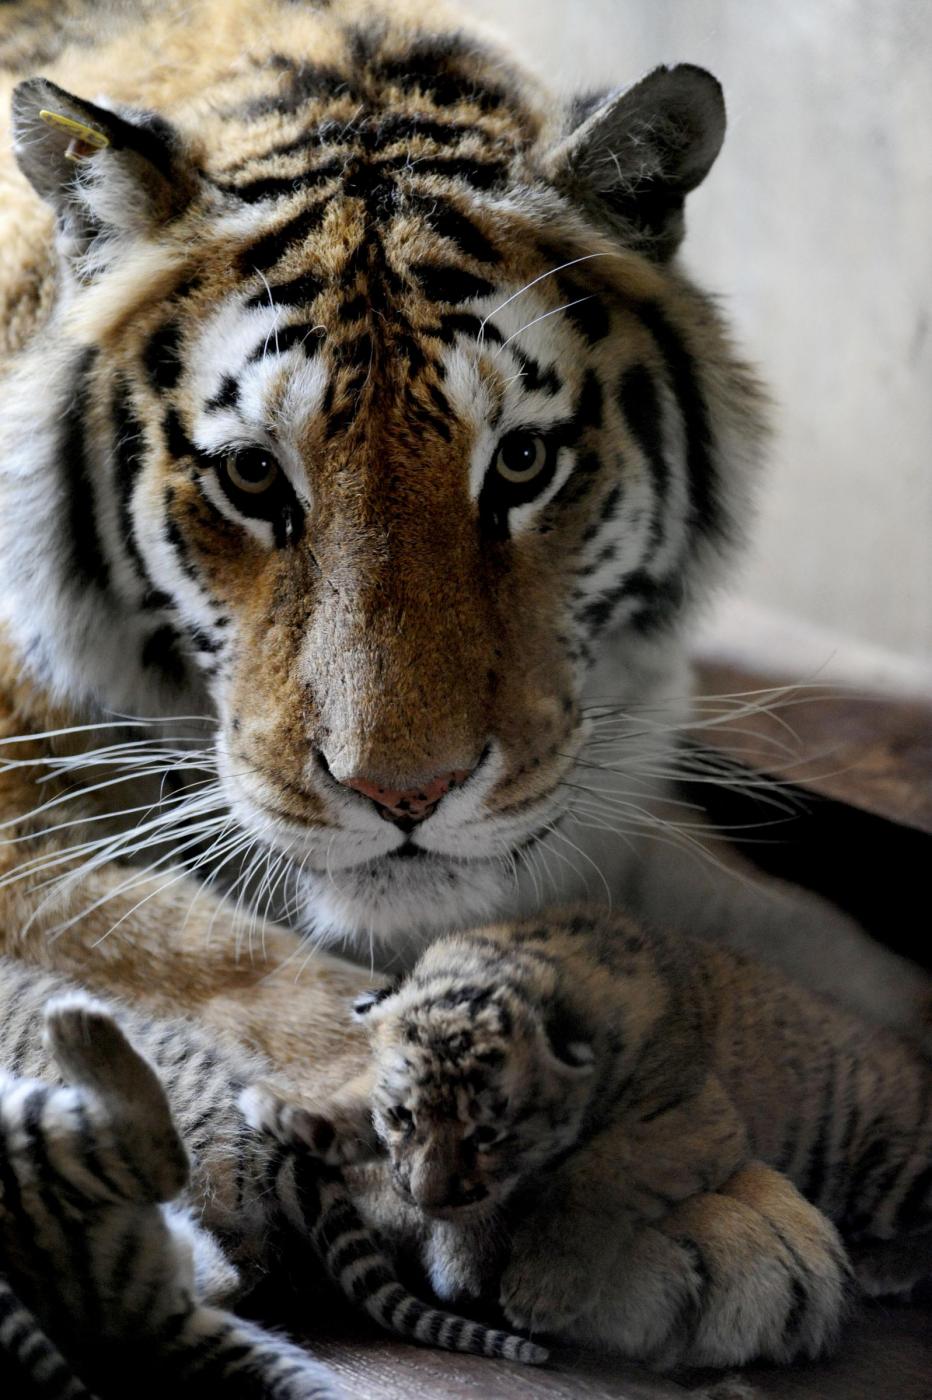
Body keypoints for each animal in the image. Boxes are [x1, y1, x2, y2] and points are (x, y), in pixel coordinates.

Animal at [278, 909, 932, 1370]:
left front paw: (540, 1291)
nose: (424, 1199)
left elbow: (592, 1176)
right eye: (403, 1116)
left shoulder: (689, 1119)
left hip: (898, 1170)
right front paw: (294, 1115)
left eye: (487, 1134)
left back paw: (879, 1270)